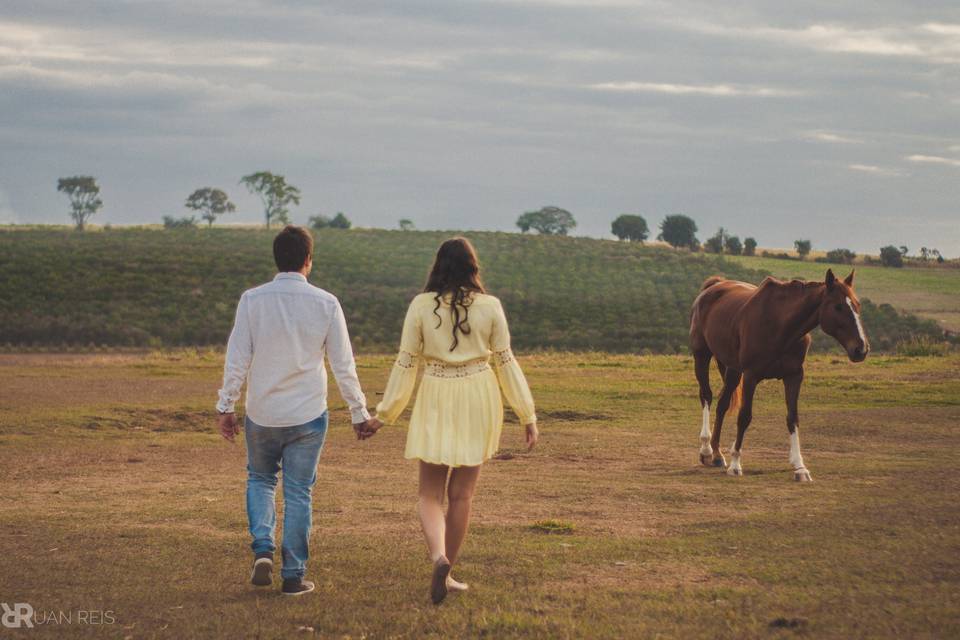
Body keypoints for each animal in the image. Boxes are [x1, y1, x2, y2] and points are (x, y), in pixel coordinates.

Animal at [688, 268, 872, 482]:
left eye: (857, 305)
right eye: (838, 307)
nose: (861, 349)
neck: (780, 325)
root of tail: (714, 286)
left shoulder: (794, 376)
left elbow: (792, 417)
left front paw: (800, 467)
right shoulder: (751, 376)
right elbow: (744, 417)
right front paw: (735, 464)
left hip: (733, 369)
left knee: (723, 403)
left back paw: (717, 454)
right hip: (702, 355)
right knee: (706, 396)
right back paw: (707, 450)